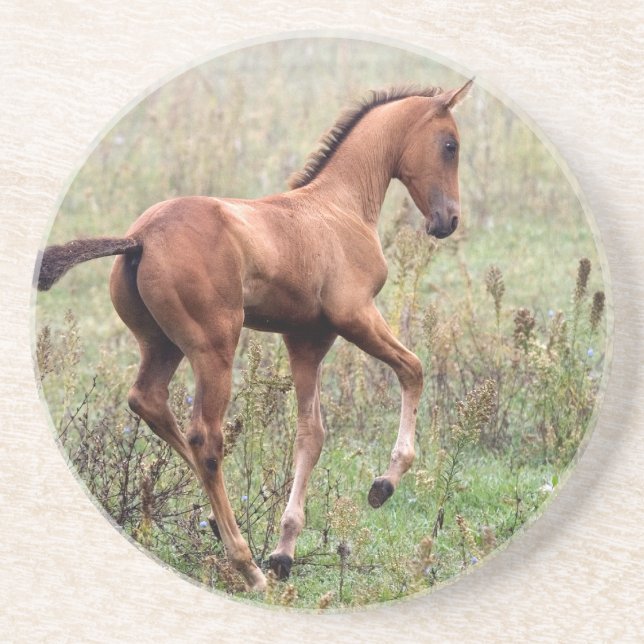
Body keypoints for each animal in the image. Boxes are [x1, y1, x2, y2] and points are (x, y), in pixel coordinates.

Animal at [37, 79, 472, 591]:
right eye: (451, 145)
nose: (447, 221)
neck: (338, 207)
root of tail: (140, 238)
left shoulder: (306, 339)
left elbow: (311, 433)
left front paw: (284, 552)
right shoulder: (355, 316)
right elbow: (414, 369)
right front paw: (384, 483)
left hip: (161, 345)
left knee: (148, 402)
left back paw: (220, 528)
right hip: (215, 348)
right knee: (205, 439)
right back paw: (246, 566)